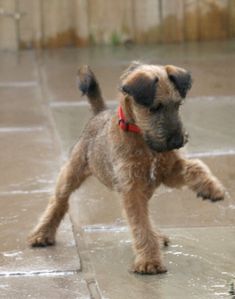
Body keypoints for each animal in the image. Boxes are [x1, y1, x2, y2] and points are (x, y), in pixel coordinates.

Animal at [28, 62, 225, 276]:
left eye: (178, 105)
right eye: (155, 107)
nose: (177, 142)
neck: (143, 143)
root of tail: (99, 113)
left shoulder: (168, 172)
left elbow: (195, 166)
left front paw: (212, 188)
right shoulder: (132, 188)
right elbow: (140, 225)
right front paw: (149, 262)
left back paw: (158, 235)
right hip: (72, 172)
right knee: (59, 201)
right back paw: (42, 234)